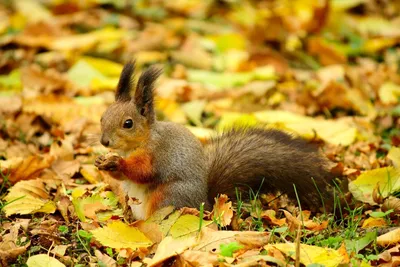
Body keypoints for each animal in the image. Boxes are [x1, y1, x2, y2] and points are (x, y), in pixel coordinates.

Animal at [95, 61, 336, 221]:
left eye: (128, 123)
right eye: (102, 117)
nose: (104, 141)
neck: (138, 143)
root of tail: (206, 204)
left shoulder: (157, 153)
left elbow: (143, 171)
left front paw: (117, 163)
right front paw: (102, 162)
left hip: (169, 197)